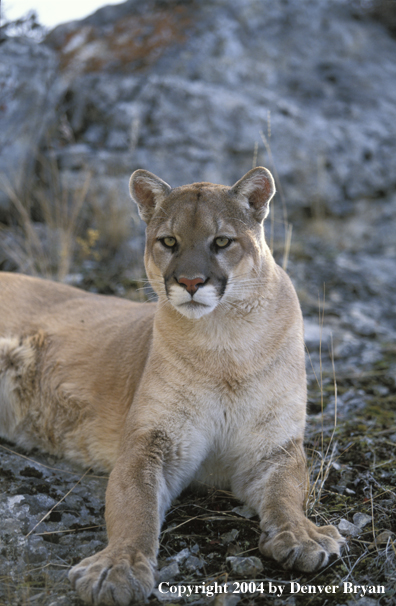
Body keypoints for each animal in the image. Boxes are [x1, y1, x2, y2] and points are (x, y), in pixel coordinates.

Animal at [0, 169, 340, 606]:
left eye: (222, 241)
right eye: (169, 241)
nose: (191, 281)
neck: (225, 343)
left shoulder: (273, 446)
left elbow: (286, 495)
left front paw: (303, 536)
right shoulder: (150, 441)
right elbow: (134, 507)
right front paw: (117, 567)